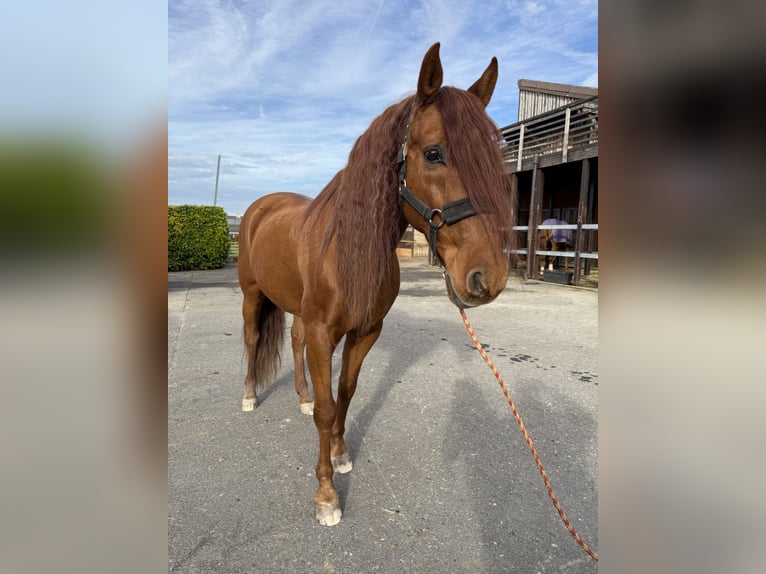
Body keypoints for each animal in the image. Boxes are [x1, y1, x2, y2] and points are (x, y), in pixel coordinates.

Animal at [237, 43, 514, 526]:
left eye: (493, 160)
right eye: (434, 153)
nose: (489, 277)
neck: (348, 247)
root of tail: (259, 207)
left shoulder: (365, 331)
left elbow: (344, 395)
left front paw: (341, 453)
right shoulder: (324, 333)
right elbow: (328, 408)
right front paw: (326, 495)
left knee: (292, 340)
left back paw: (300, 397)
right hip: (252, 295)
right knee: (253, 339)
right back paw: (251, 396)